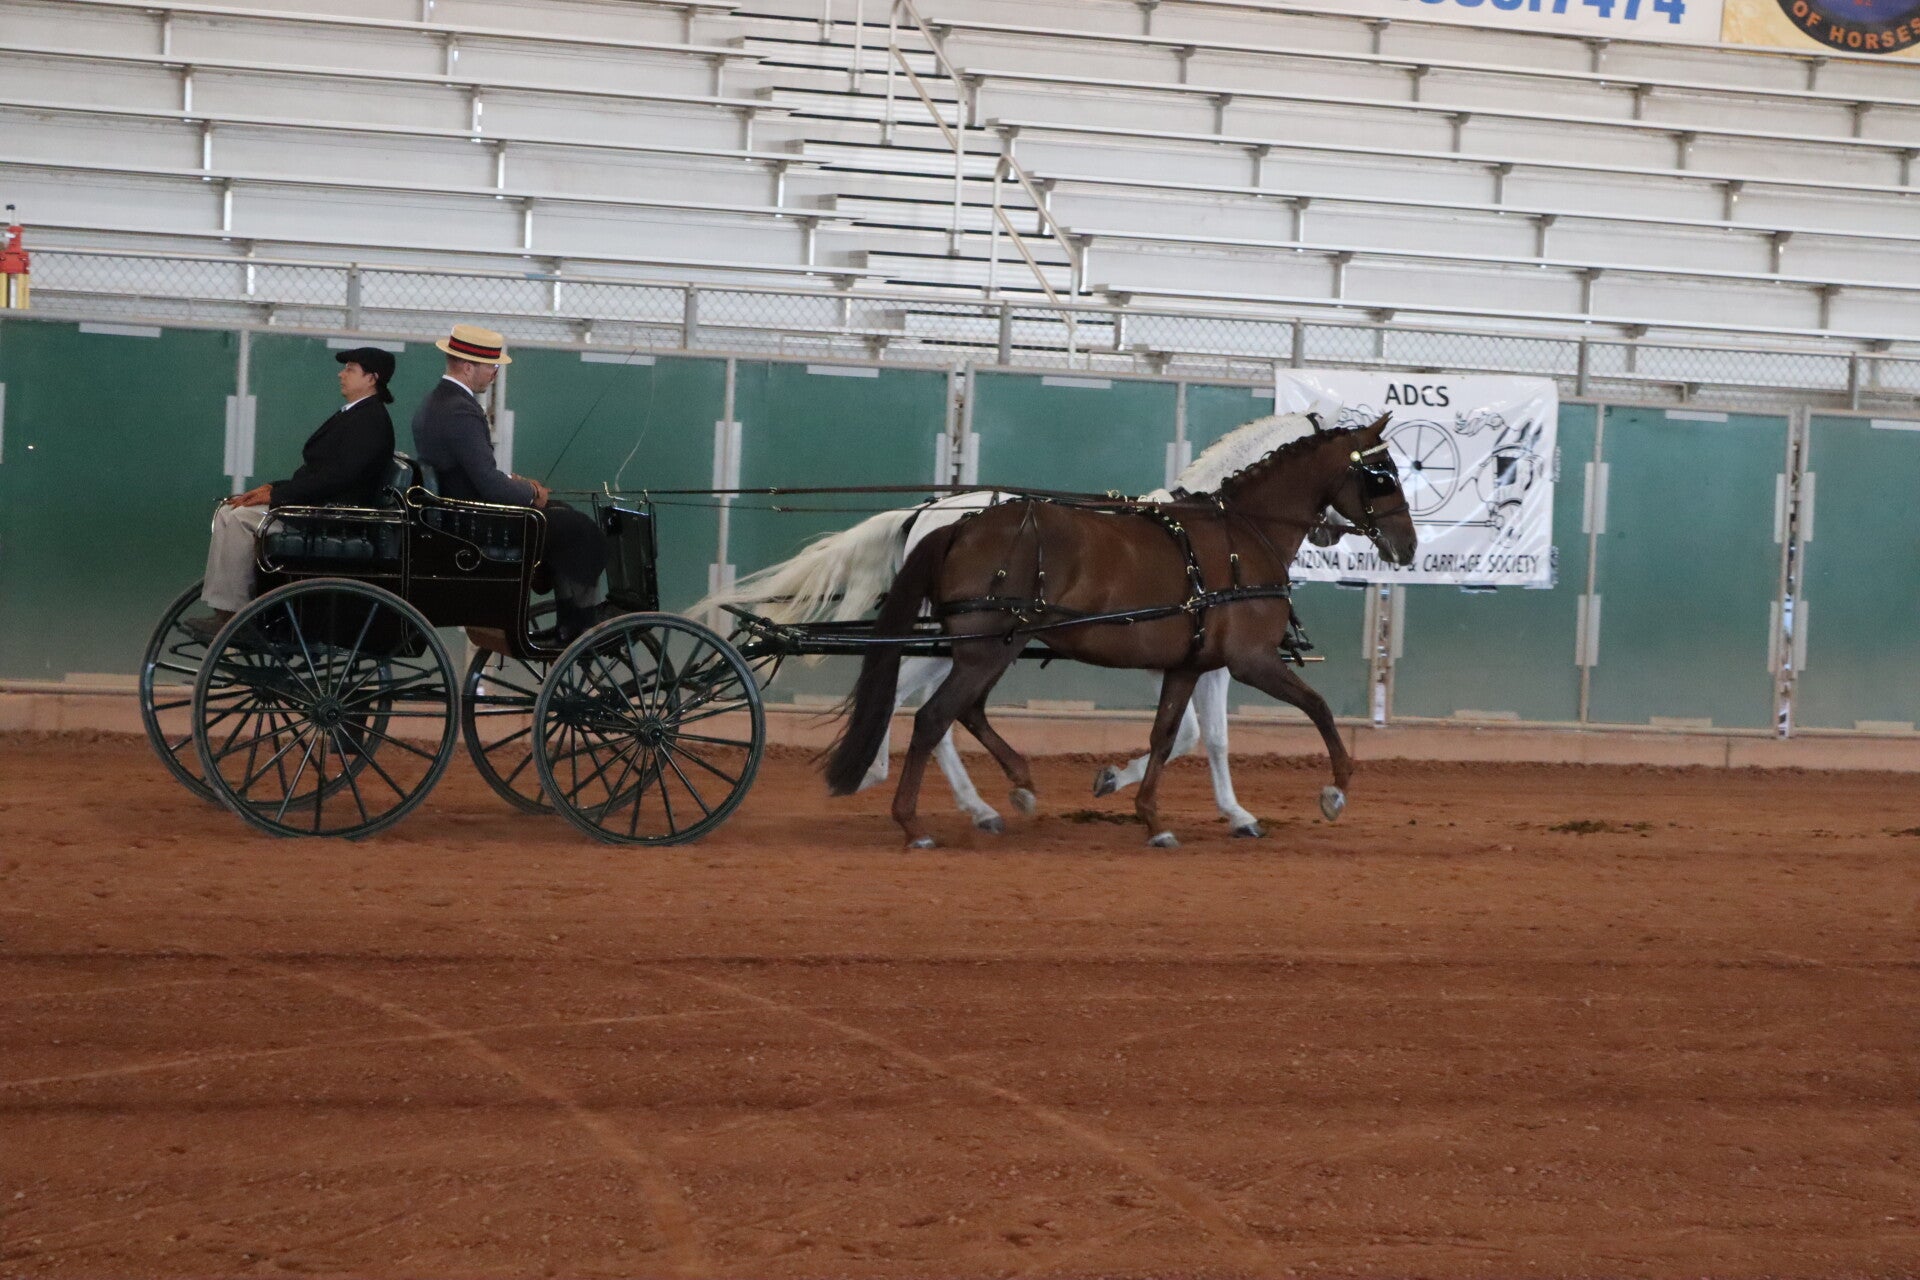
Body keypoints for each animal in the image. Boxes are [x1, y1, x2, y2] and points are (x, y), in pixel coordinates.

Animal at [824, 415, 1416, 848]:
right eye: (1382, 473)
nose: (1407, 545)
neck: (1240, 531)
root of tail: (953, 521)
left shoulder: (1191, 663)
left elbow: (1178, 735)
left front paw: (1154, 813)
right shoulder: (1251, 660)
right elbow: (1313, 709)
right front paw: (1334, 790)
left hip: (980, 646)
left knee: (944, 708)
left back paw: (999, 792)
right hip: (982, 648)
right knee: (928, 713)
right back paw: (913, 815)